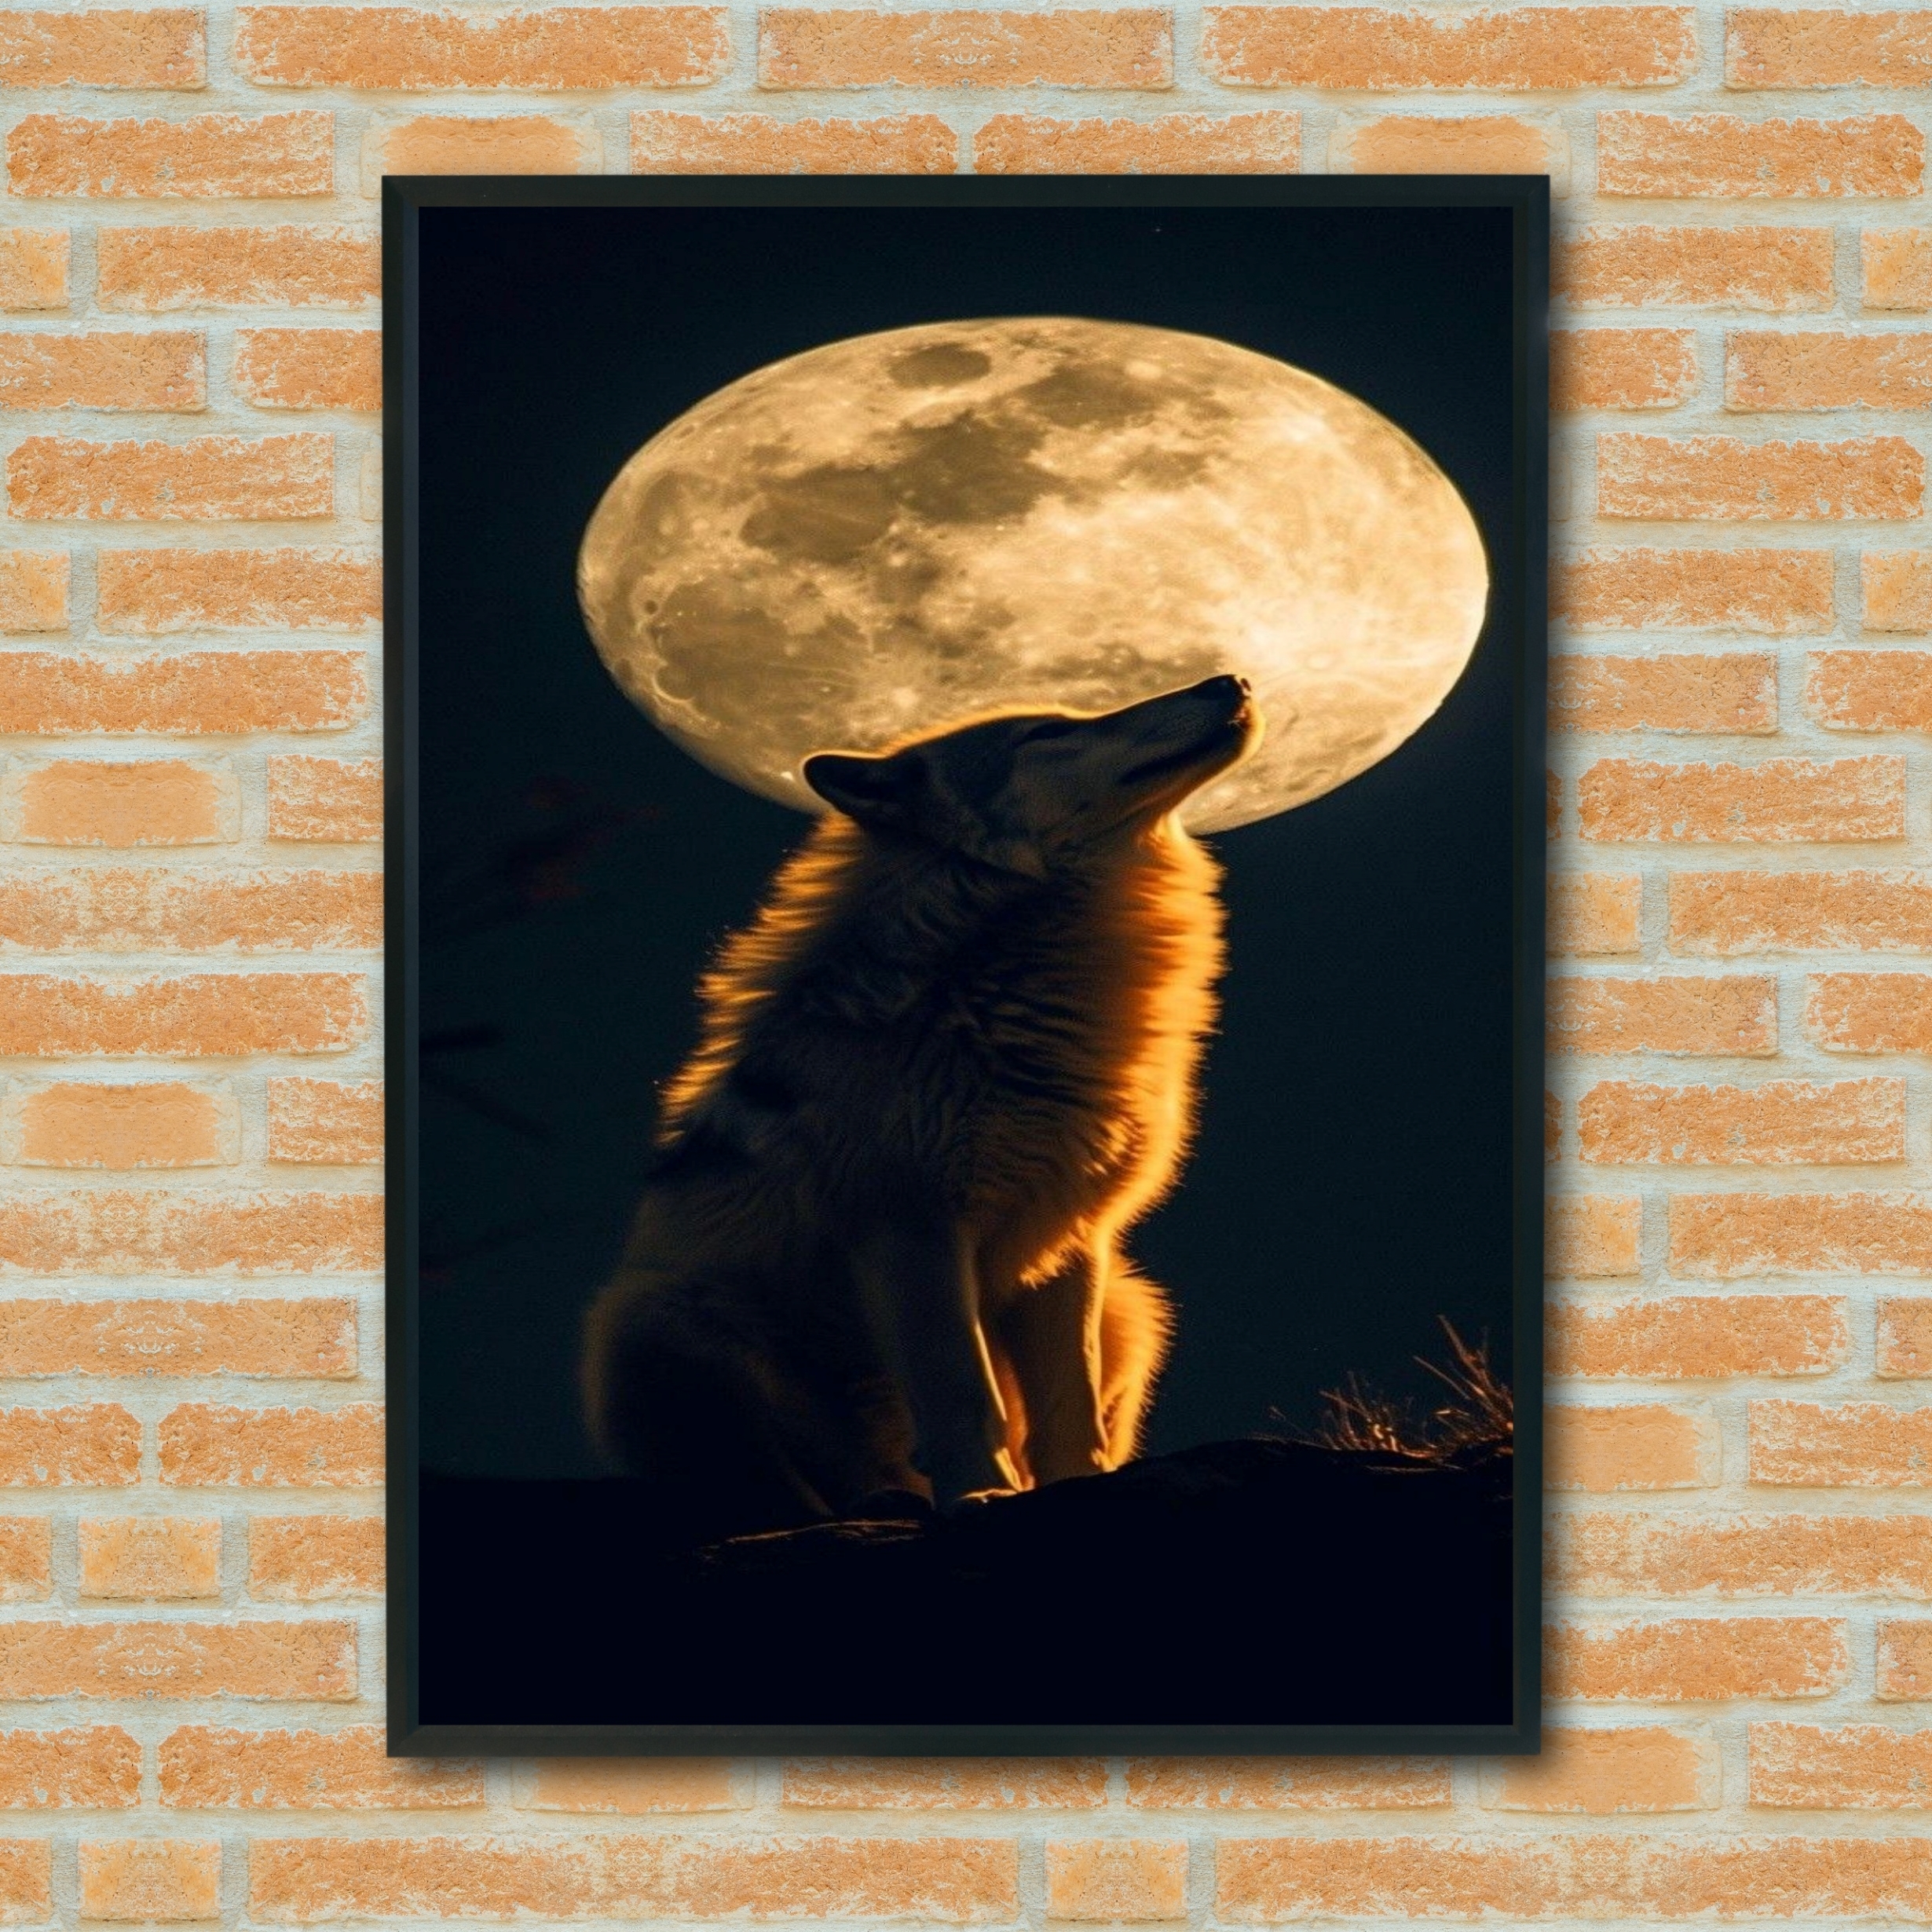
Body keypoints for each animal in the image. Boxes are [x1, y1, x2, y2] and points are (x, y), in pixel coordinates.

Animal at [582, 672, 1261, 1541]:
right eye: (1046, 733)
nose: (1230, 679)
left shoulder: (1071, 1239)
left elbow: (1067, 1406)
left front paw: (1078, 1487)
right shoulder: (915, 1229)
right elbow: (962, 1392)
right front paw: (982, 1496)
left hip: (1134, 1307)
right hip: (654, 1321)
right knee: (781, 1490)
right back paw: (880, 1504)